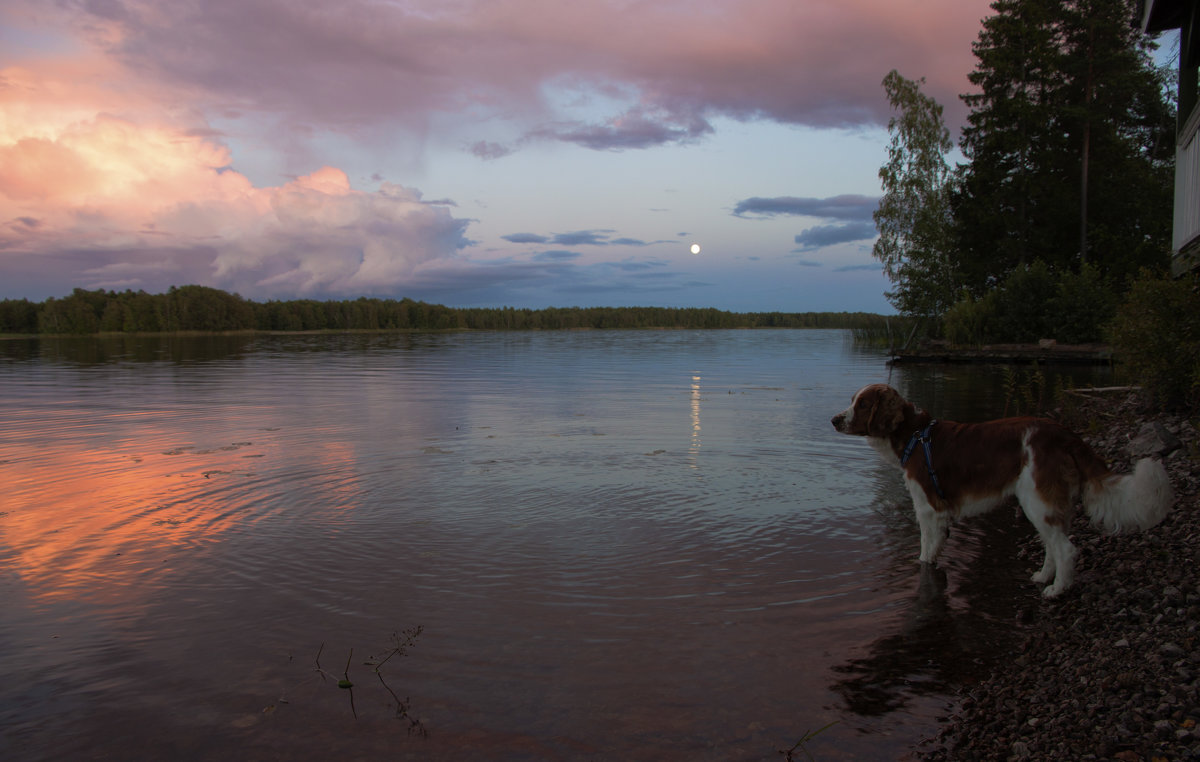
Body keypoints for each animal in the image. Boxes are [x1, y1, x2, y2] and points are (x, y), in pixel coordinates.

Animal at [830, 384, 1166, 600]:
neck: (913, 434)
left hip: (1037, 500)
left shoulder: (928, 510)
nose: (834, 420)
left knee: (1066, 549)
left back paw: (1056, 590)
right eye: (854, 401)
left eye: (862, 404)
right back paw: (1043, 577)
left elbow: (926, 552)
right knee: (1052, 544)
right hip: (1042, 504)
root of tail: (1067, 435)